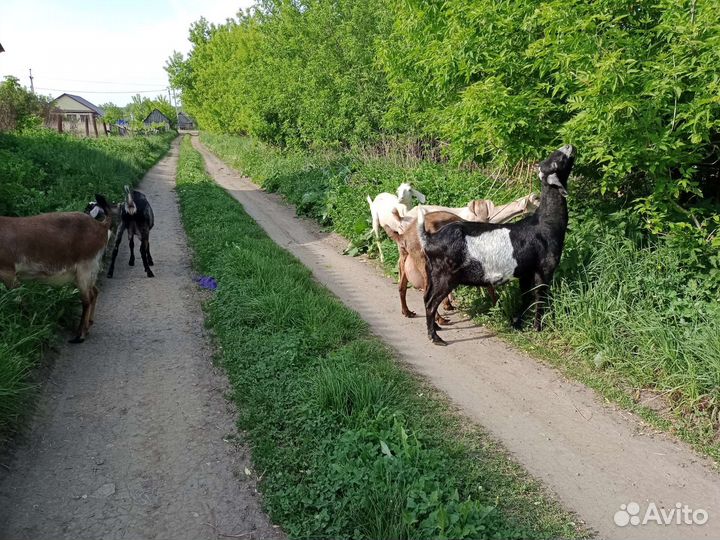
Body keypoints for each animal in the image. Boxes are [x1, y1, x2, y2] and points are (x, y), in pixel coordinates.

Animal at [0, 195, 113, 343]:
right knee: (94, 292)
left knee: (87, 299)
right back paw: (88, 326)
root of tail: (101, 226)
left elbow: (20, 300)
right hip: (87, 271)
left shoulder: (8, 272)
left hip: (85, 268)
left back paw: (80, 335)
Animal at [417, 145, 576, 345]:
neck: (545, 224)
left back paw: (436, 328)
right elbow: (539, 298)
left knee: (425, 297)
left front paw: (516, 323)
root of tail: (429, 238)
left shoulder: (525, 272)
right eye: (558, 161)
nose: (570, 146)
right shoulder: (544, 269)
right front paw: (537, 328)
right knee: (431, 303)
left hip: (432, 272)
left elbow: (525, 298)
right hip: (445, 275)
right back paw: (435, 337)